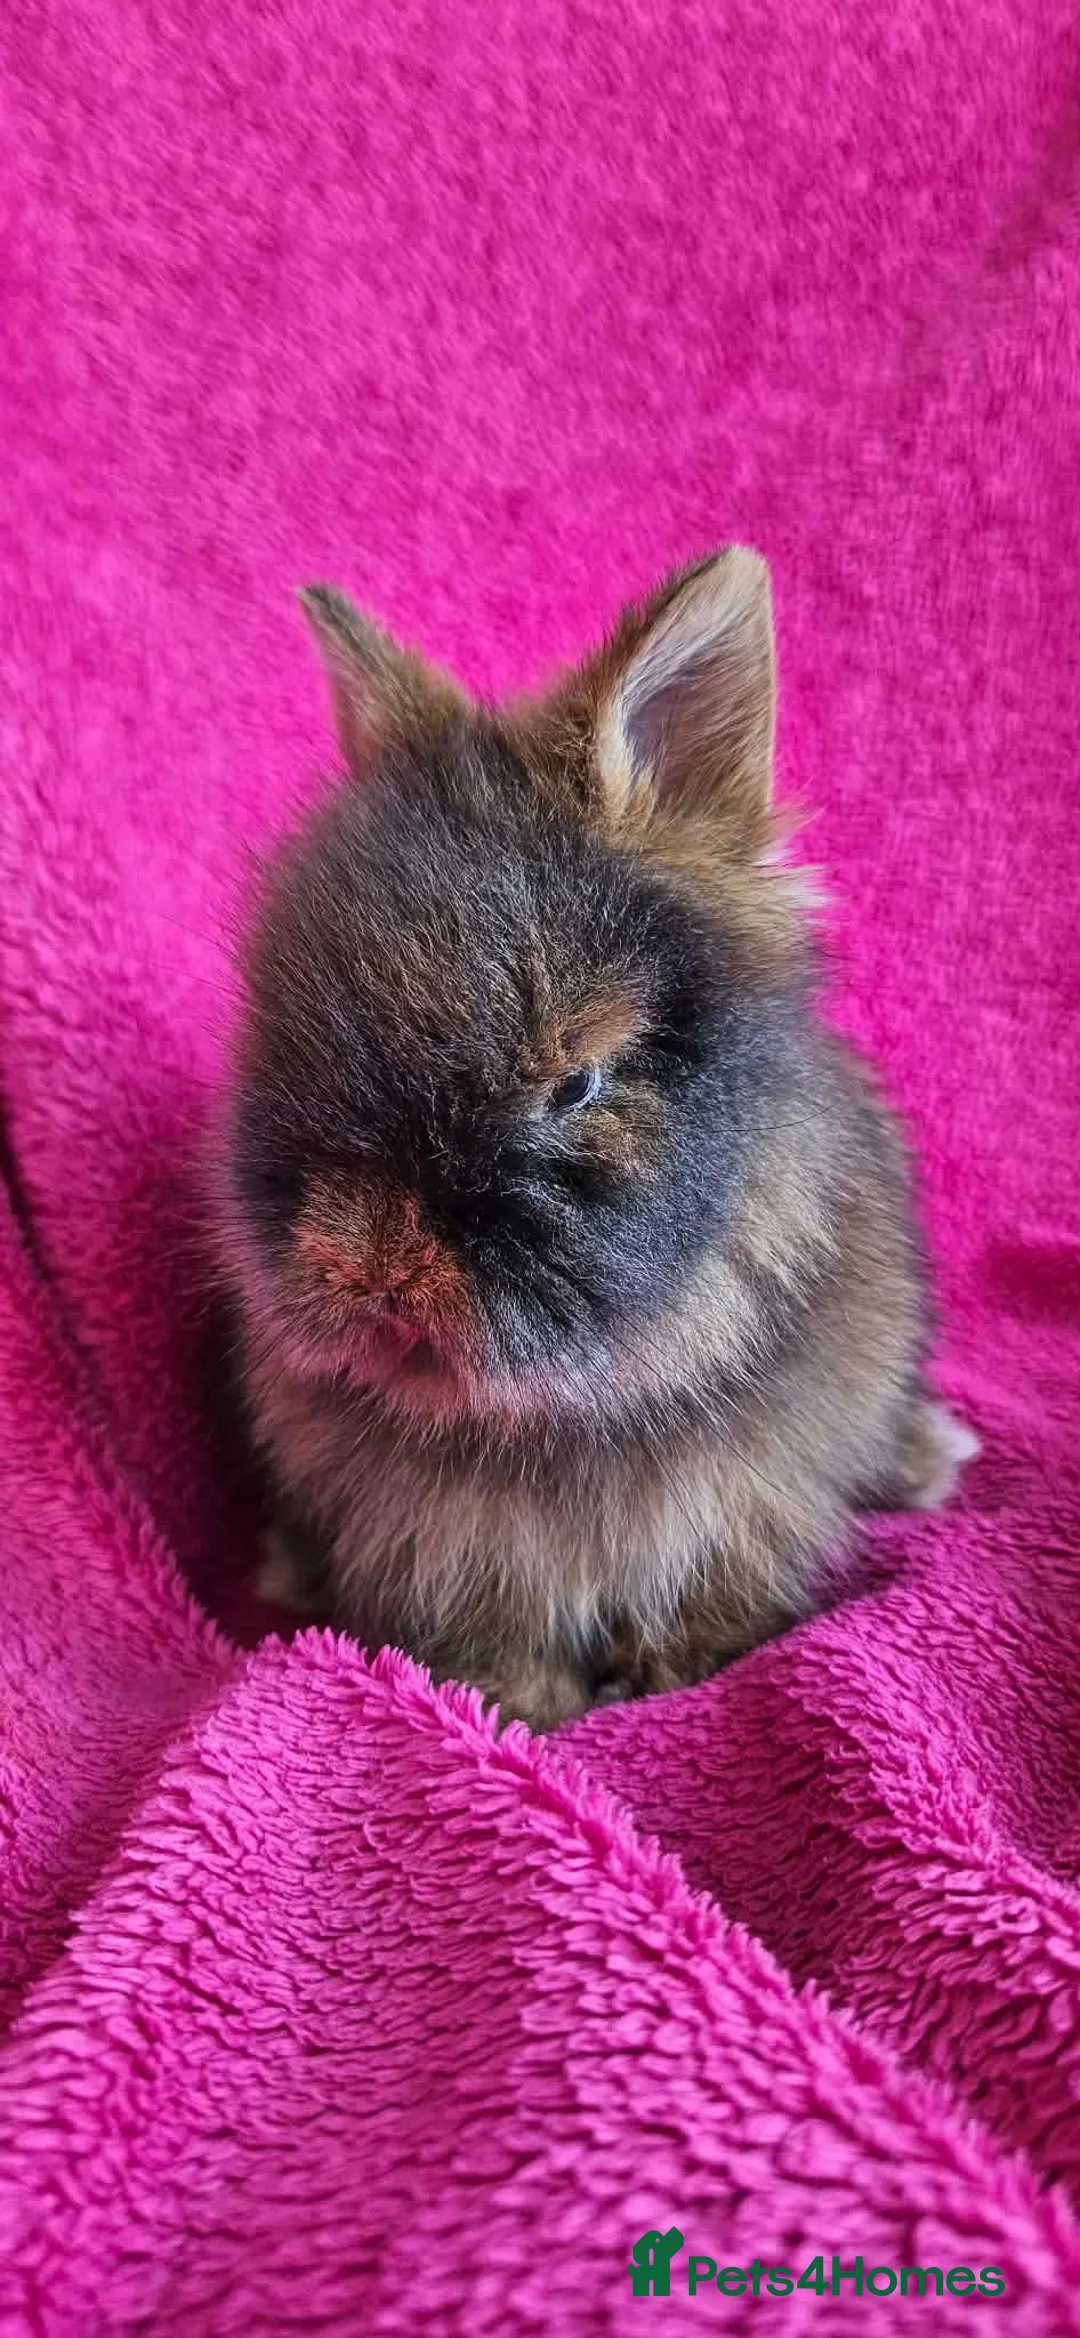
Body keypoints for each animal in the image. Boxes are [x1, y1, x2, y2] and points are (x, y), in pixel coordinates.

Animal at [219, 548, 977, 1731]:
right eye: (281, 1034)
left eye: (574, 1083)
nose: (366, 1267)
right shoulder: (446, 1549)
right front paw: (516, 1708)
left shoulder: (746, 1509)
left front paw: (686, 1674)